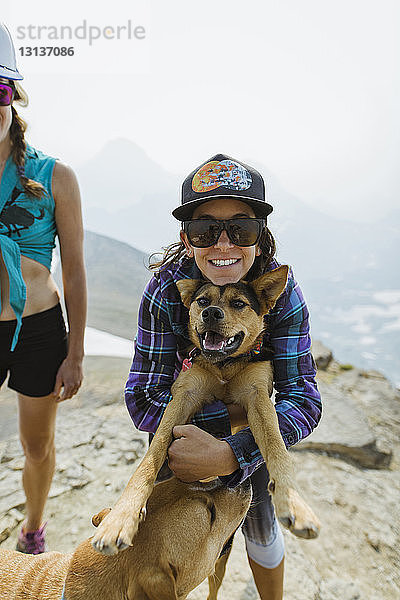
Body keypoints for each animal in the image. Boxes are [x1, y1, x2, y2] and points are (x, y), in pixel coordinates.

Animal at [92, 264, 320, 556]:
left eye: (239, 303)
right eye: (202, 301)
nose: (211, 313)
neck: (224, 365)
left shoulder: (258, 398)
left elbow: (277, 447)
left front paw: (295, 504)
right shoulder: (184, 396)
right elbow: (151, 458)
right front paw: (121, 518)